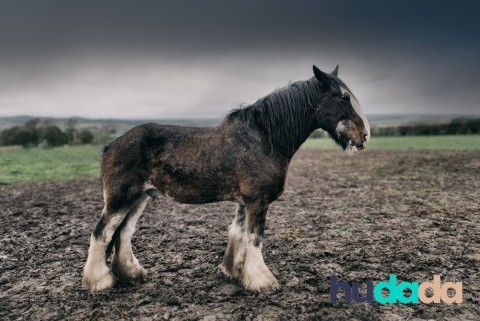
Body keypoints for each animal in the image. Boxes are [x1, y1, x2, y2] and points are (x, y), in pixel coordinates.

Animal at [82, 65, 372, 292]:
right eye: (344, 96)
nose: (365, 136)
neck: (263, 138)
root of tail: (111, 144)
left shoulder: (245, 202)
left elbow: (238, 233)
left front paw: (234, 271)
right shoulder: (257, 202)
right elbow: (254, 238)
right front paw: (262, 281)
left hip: (139, 197)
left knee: (123, 233)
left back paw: (132, 273)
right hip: (120, 198)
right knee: (102, 233)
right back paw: (99, 282)